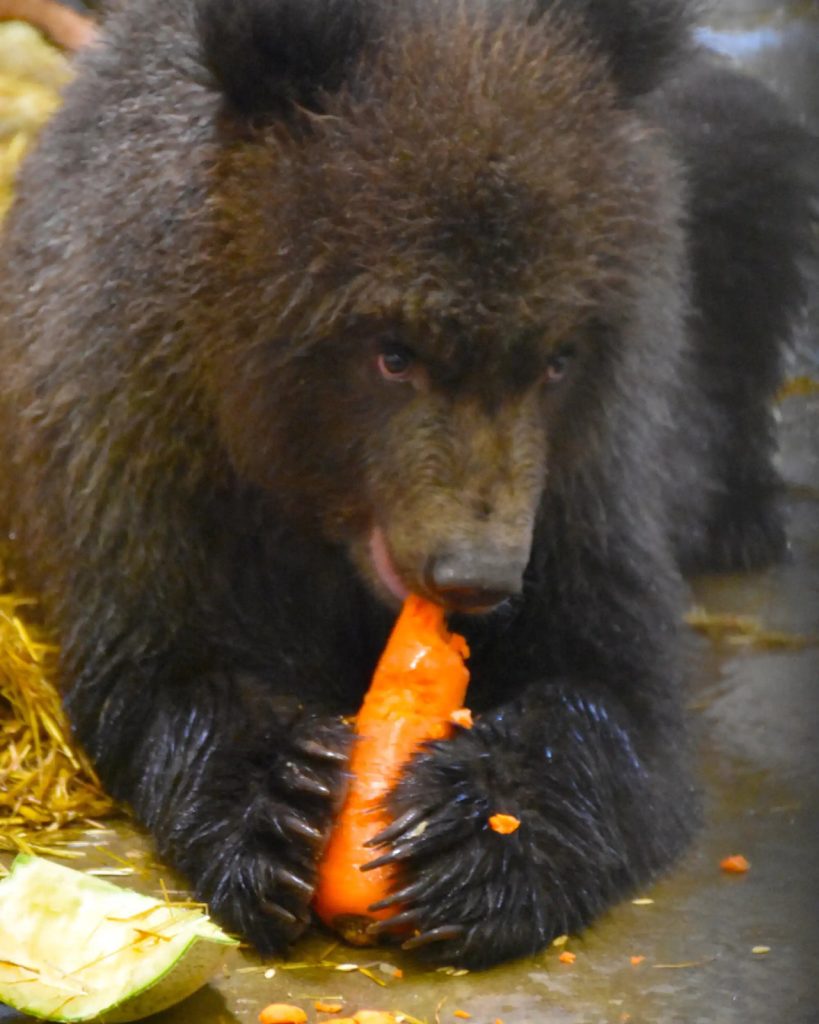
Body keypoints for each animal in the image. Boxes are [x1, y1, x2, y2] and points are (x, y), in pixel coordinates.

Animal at [0, 0, 813, 968]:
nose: (474, 575)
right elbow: (163, 665)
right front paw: (278, 802)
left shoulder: (588, 479)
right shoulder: (143, 442)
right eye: (392, 352)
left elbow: (617, 689)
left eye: (556, 358)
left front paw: (472, 833)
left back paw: (741, 515)